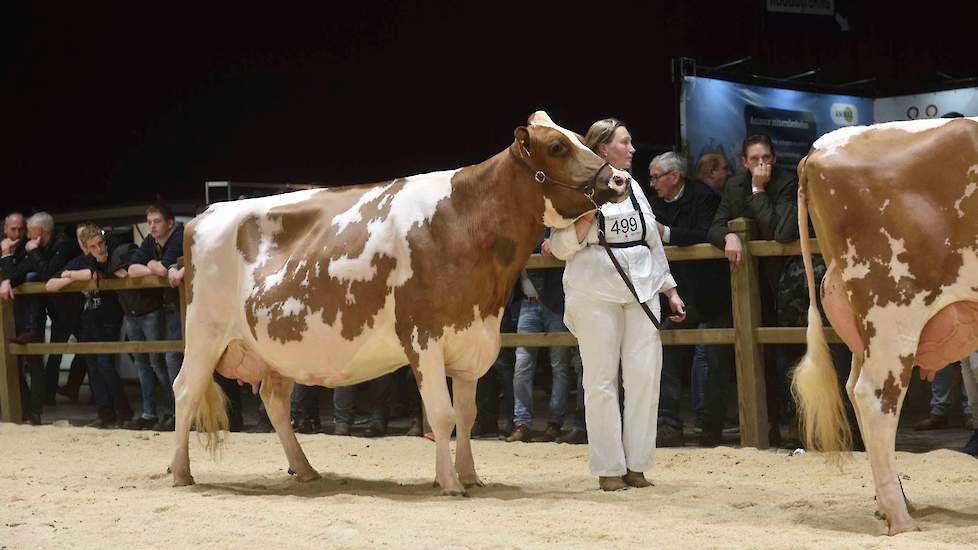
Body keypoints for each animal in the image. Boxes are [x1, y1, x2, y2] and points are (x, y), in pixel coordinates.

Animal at [167, 111, 624, 496]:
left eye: (581, 138)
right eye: (558, 147)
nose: (618, 180)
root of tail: (206, 213)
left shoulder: (471, 339)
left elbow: (467, 415)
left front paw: (470, 476)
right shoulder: (423, 336)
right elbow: (441, 414)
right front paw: (449, 483)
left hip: (274, 346)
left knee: (274, 400)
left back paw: (307, 470)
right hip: (205, 330)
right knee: (185, 389)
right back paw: (181, 472)